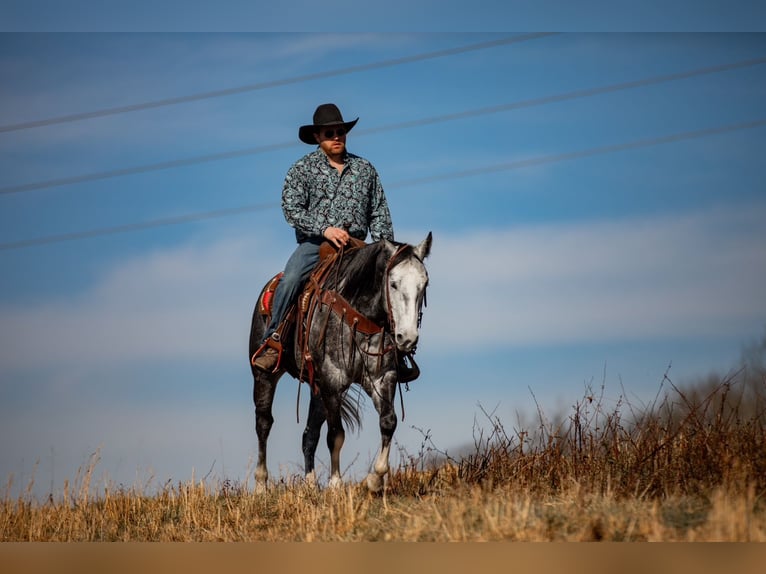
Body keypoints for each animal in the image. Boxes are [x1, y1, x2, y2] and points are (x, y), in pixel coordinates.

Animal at [248, 232, 432, 492]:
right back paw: (261, 486)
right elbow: (336, 434)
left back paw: (310, 484)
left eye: (424, 284)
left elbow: (388, 422)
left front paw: (374, 479)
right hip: (264, 375)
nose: (407, 338)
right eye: (393, 283)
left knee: (309, 434)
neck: (359, 315)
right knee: (263, 423)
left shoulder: (381, 377)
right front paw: (336, 484)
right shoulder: (332, 381)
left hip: (317, 389)